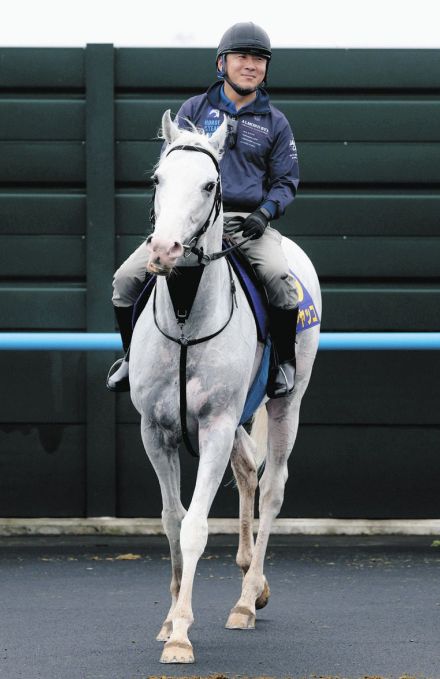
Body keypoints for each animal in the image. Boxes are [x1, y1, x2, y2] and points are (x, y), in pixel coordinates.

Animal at [129, 110, 322, 664]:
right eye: (158, 179)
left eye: (210, 184)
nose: (164, 250)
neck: (186, 314)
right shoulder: (155, 432)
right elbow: (171, 520)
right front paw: (169, 618)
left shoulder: (215, 426)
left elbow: (194, 525)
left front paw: (180, 635)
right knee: (248, 472)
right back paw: (251, 587)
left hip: (286, 405)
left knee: (272, 486)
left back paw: (246, 600)